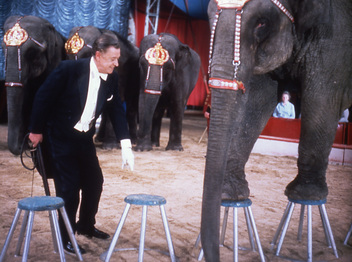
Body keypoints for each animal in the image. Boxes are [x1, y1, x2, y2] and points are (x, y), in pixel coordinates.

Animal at [201, 0, 352, 260]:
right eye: (210, 17)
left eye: (261, 23)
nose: (219, 251)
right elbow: (257, 99)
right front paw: (231, 194)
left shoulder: (336, 38)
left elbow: (321, 98)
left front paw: (305, 194)